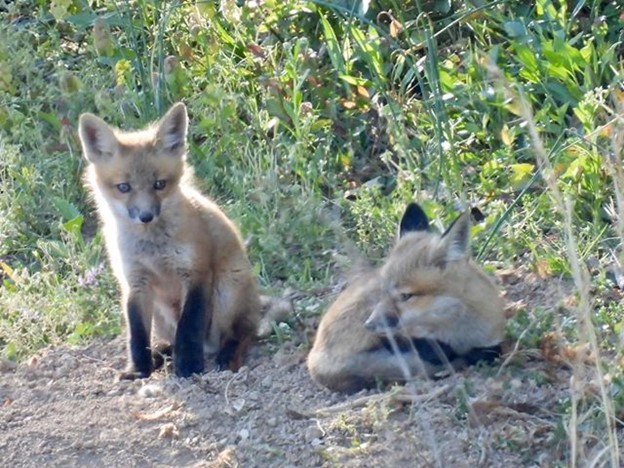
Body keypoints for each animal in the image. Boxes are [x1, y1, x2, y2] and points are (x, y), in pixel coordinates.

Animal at [77, 102, 258, 380]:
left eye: (159, 184)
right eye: (124, 187)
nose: (145, 216)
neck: (152, 249)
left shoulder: (195, 272)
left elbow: (189, 326)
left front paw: (189, 367)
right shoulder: (135, 282)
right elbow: (137, 335)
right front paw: (139, 370)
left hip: (226, 294)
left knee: (243, 331)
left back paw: (225, 356)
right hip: (162, 315)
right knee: (169, 340)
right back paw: (160, 355)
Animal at [308, 203, 508, 394]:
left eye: (405, 296)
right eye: (382, 292)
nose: (369, 325)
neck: (458, 333)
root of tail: (313, 356)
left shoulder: (491, 338)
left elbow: (490, 351)